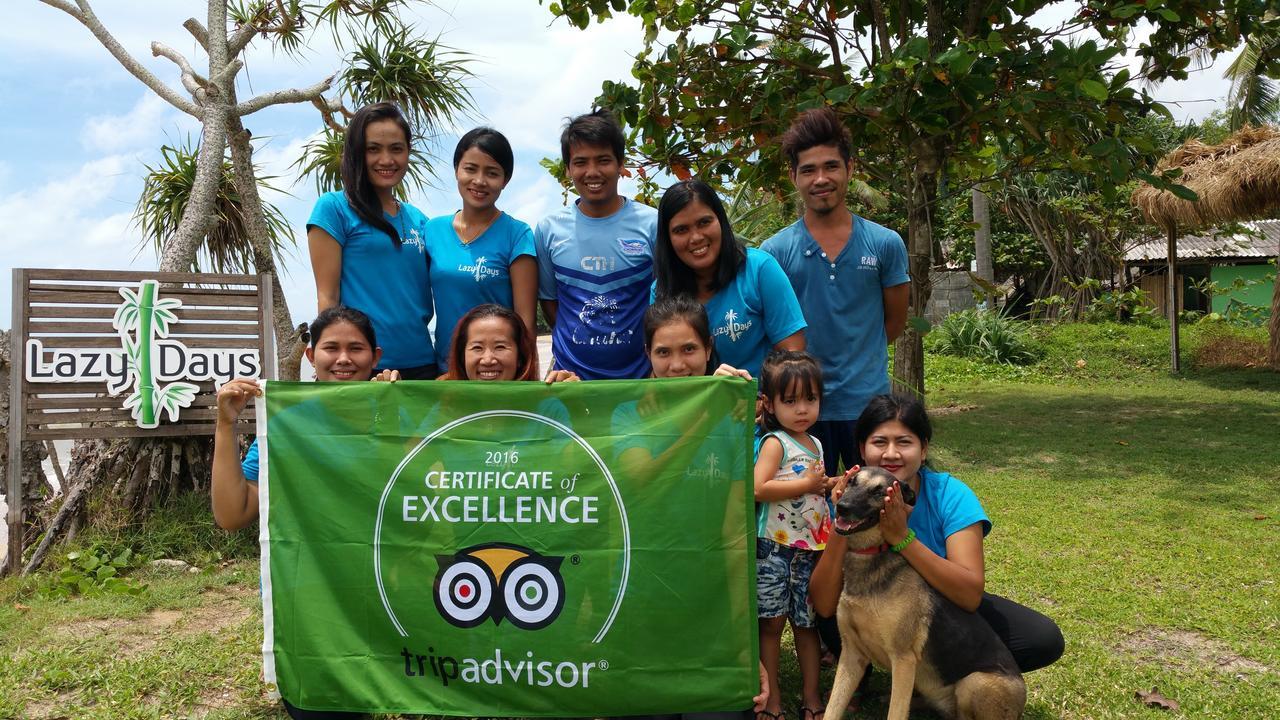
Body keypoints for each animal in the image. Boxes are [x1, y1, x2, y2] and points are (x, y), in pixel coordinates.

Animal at [824, 466, 1024, 717]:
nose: (842, 506)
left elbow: (896, 713)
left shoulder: (903, 661)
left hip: (974, 683)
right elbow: (832, 708)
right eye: (851, 481)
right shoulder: (852, 655)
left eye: (879, 492)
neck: (871, 556)